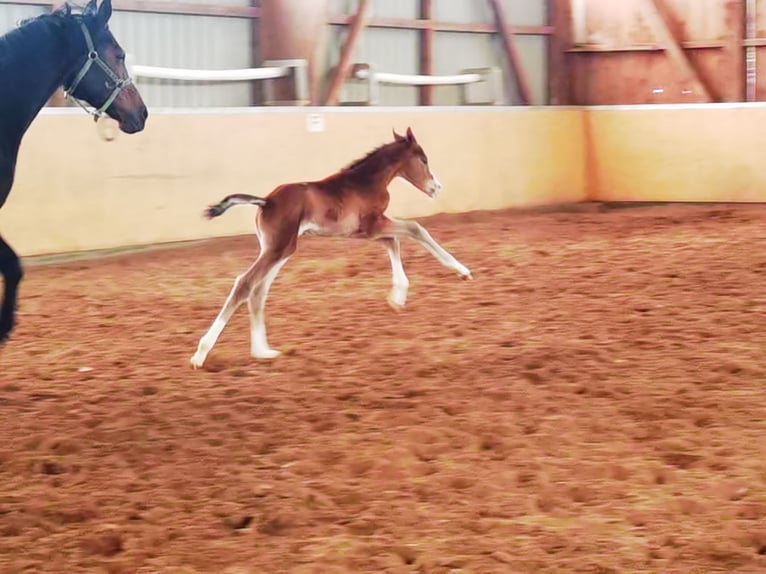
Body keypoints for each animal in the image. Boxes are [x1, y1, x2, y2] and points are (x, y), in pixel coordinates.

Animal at [189, 126, 472, 372]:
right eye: (423, 159)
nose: (436, 188)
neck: (365, 182)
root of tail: (266, 200)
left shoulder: (366, 232)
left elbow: (395, 241)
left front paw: (397, 297)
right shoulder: (374, 225)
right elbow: (415, 229)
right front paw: (462, 271)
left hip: (281, 250)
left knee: (258, 292)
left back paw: (263, 352)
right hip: (276, 250)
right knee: (244, 284)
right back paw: (201, 354)